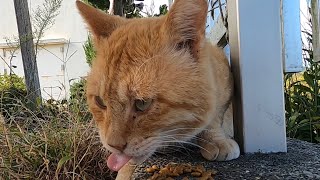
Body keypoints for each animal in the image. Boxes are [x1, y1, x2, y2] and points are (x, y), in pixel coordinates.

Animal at [76, 0, 239, 179]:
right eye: (100, 102)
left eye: (142, 103)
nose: (113, 145)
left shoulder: (225, 79)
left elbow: (215, 117)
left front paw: (216, 140)